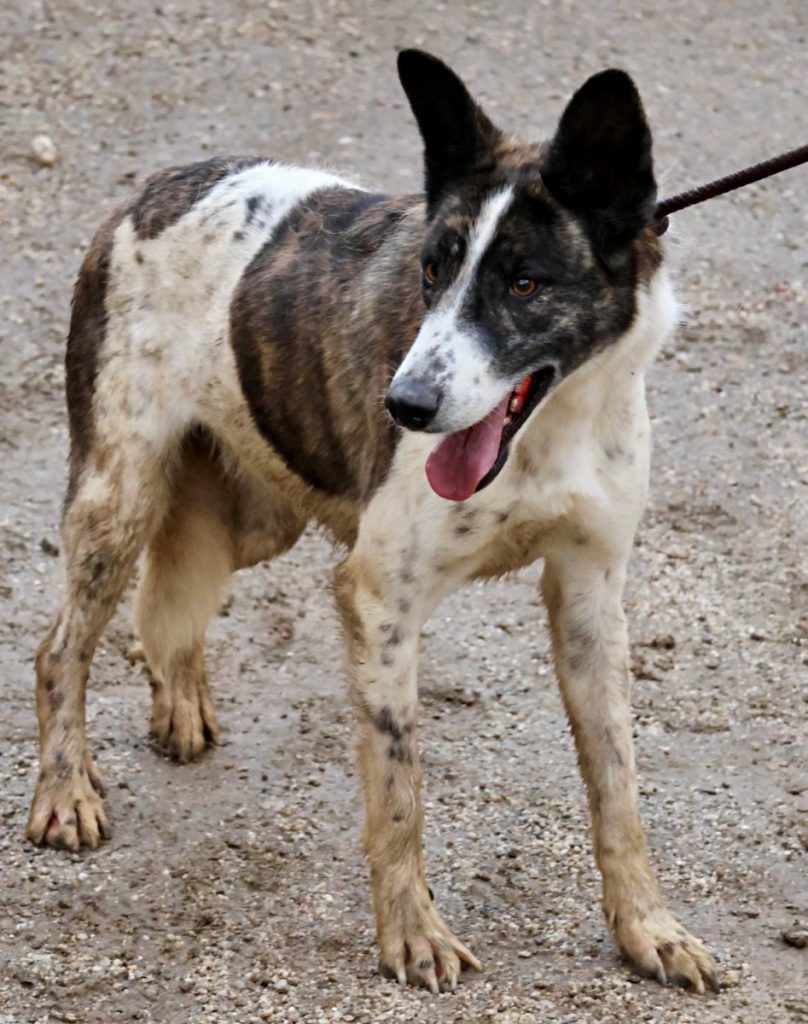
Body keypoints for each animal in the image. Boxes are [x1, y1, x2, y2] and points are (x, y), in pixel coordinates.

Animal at [26, 49, 720, 994]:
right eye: (431, 271)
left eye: (525, 283)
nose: (406, 404)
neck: (550, 429)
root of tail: (153, 189)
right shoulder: (377, 597)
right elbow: (399, 795)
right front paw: (413, 935)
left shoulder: (592, 597)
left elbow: (618, 788)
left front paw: (647, 928)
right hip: (118, 495)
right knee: (62, 646)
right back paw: (66, 792)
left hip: (257, 512)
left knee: (167, 600)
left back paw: (181, 703)